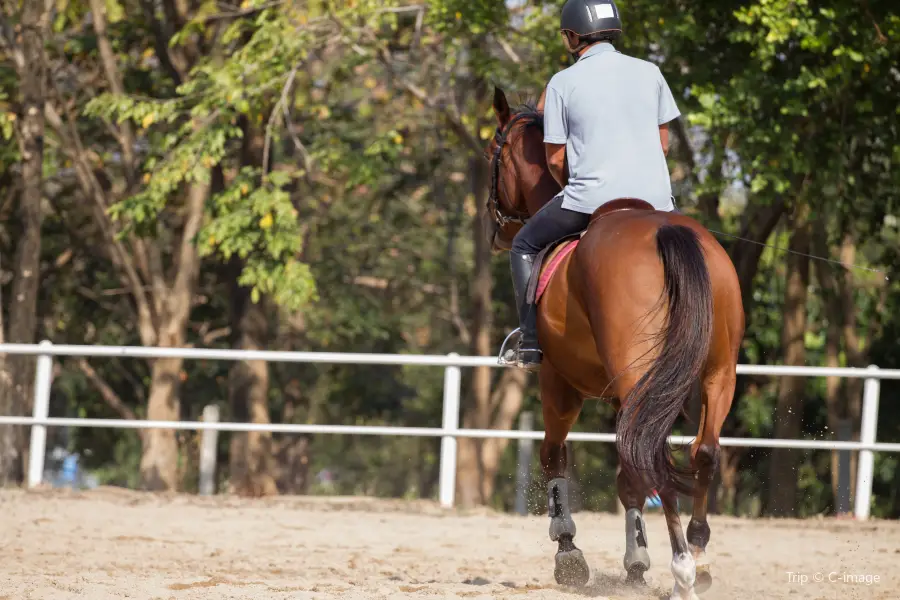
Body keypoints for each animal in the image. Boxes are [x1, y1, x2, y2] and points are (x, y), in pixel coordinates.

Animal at [486, 88, 744, 600]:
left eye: (492, 155)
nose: (496, 229)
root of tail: (667, 232)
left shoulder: (558, 383)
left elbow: (555, 457)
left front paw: (568, 552)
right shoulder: (623, 395)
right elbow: (627, 480)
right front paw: (636, 562)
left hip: (635, 378)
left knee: (655, 456)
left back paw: (683, 567)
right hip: (716, 375)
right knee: (701, 453)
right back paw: (700, 557)